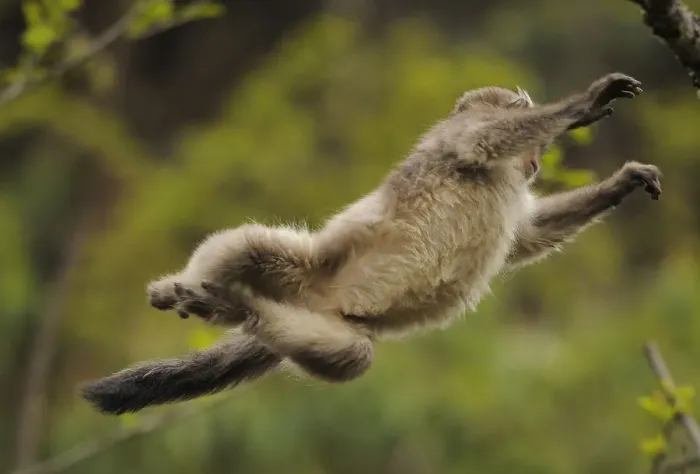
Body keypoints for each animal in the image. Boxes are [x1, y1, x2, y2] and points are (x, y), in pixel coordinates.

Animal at [82, 73, 662, 415]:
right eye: (528, 127)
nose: (537, 161)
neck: (503, 178)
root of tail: (311, 301)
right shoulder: (466, 133)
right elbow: (480, 140)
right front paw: (583, 106)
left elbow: (528, 236)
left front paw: (621, 183)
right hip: (310, 269)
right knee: (248, 250)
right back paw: (186, 290)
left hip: (324, 324)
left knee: (348, 356)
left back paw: (237, 309)